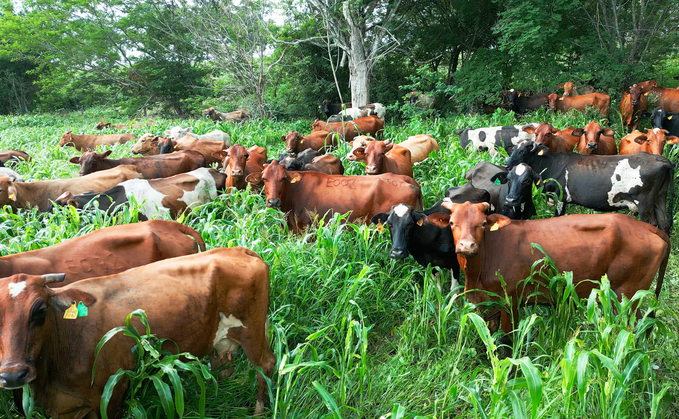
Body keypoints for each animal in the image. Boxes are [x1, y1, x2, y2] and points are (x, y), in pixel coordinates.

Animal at [0, 247, 276, 417]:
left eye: (40, 311)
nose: (12, 375)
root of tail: (239, 250)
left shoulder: (112, 393)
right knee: (223, 366)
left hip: (252, 331)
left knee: (266, 365)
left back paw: (259, 411)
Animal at [504, 141, 675, 234]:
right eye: (512, 150)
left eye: (522, 151)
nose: (506, 164)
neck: (549, 164)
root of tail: (662, 159)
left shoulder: (560, 196)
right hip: (660, 197)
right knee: (664, 224)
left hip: (644, 203)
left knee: (652, 224)